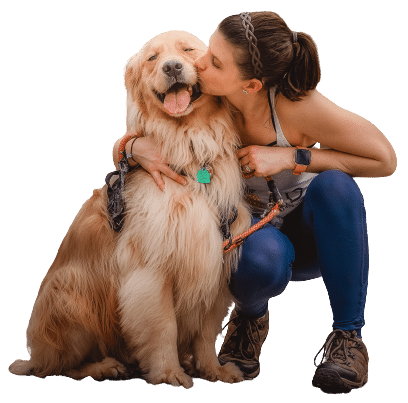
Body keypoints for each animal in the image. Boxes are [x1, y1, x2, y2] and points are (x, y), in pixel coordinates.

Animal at [8, 29, 252, 388]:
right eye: (152, 57)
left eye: (188, 50)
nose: (172, 67)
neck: (189, 148)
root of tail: (34, 354)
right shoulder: (151, 265)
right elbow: (163, 326)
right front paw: (168, 372)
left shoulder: (215, 258)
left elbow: (206, 332)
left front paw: (213, 369)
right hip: (72, 293)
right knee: (59, 366)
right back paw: (105, 367)